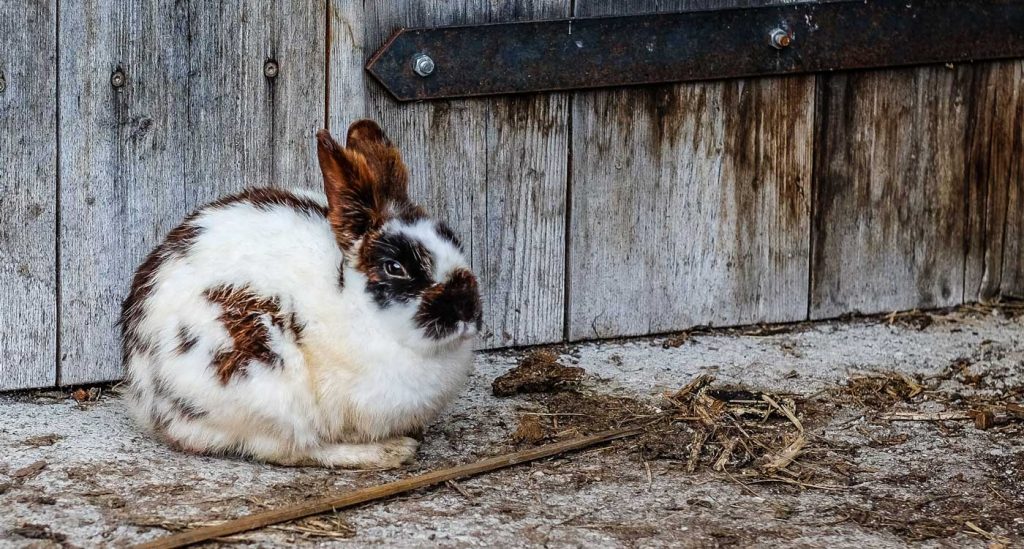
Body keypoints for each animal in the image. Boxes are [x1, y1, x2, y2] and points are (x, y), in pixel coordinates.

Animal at [120, 119, 483, 467]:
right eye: (395, 268)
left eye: (454, 241)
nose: (467, 308)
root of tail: (145, 396)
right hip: (263, 378)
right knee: (293, 449)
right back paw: (388, 452)